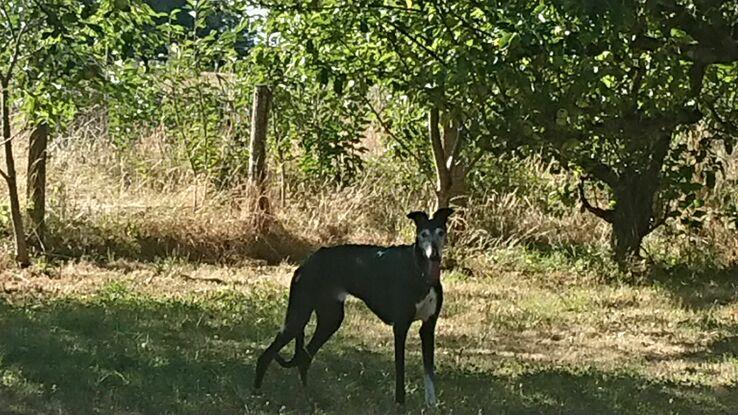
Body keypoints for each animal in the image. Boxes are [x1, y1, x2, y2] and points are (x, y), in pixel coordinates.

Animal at [252, 208, 448, 406]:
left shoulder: (428, 328)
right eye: (423, 234)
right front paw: (400, 404)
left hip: (330, 319)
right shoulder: (400, 327)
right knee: (266, 356)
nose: (434, 255)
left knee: (305, 357)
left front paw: (431, 405)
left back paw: (307, 396)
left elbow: (429, 374)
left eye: (441, 232)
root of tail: (307, 263)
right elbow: (400, 372)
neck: (421, 273)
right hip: (298, 317)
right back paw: (257, 394)